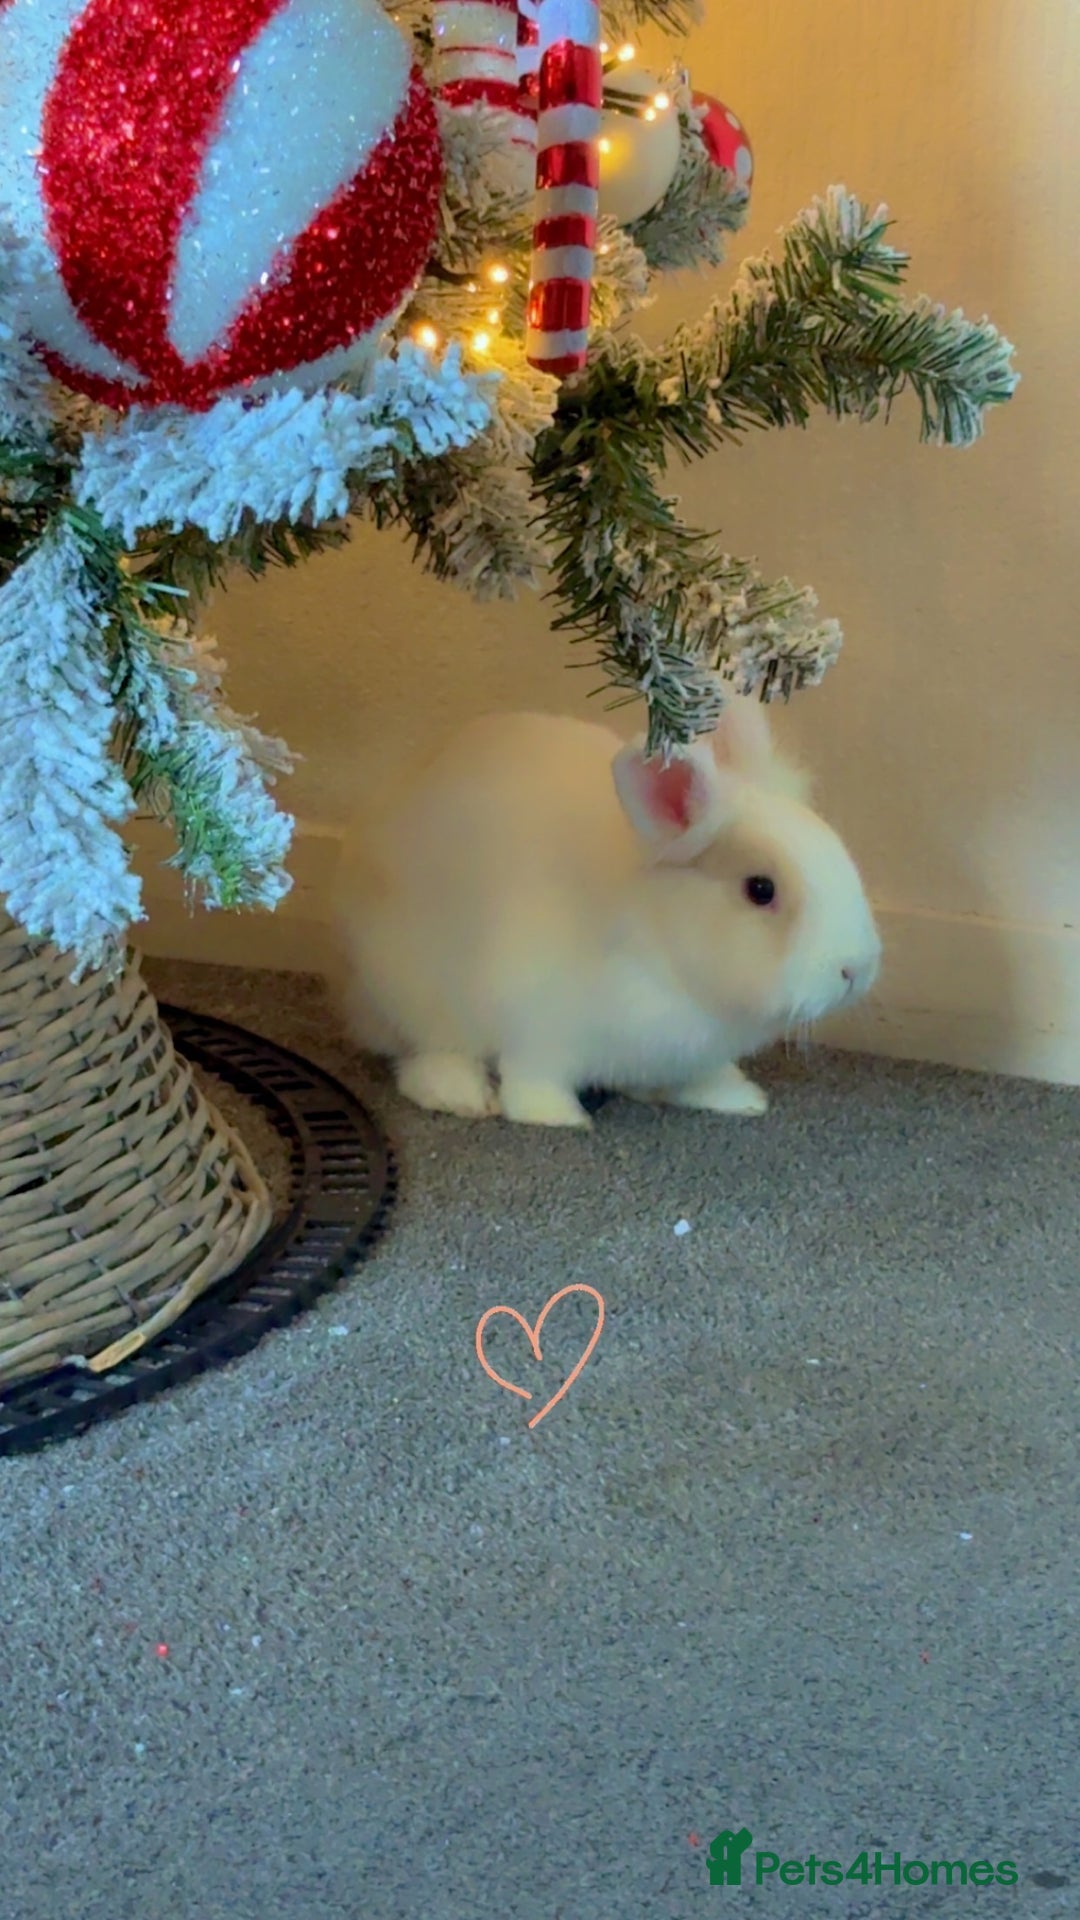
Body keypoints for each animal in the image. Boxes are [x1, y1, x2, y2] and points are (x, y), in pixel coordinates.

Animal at [332, 697, 881, 1128]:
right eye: (761, 890)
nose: (856, 969)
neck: (662, 949)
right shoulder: (538, 1025)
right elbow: (533, 1081)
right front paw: (558, 1118)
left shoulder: (687, 1058)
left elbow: (702, 1080)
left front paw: (739, 1099)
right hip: (416, 991)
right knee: (426, 1056)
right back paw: (462, 1096)